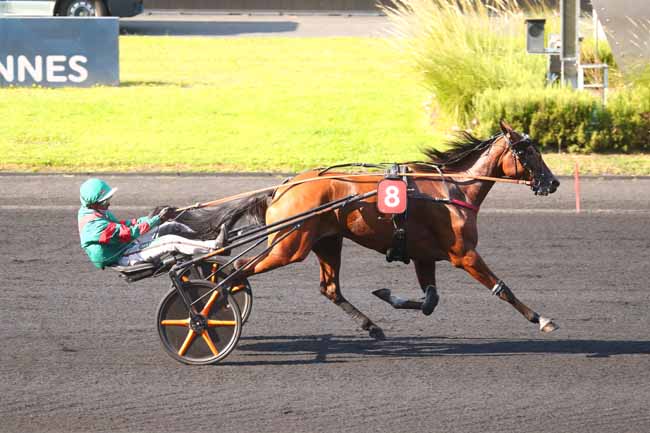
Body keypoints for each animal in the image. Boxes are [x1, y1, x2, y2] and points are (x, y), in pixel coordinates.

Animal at [177, 120, 556, 338]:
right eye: (529, 152)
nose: (552, 182)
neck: (452, 189)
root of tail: (284, 188)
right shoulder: (463, 254)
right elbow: (502, 288)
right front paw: (541, 319)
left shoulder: (425, 256)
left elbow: (430, 300)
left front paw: (387, 295)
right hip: (289, 246)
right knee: (235, 270)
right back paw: (206, 309)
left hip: (327, 242)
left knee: (329, 288)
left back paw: (371, 326)